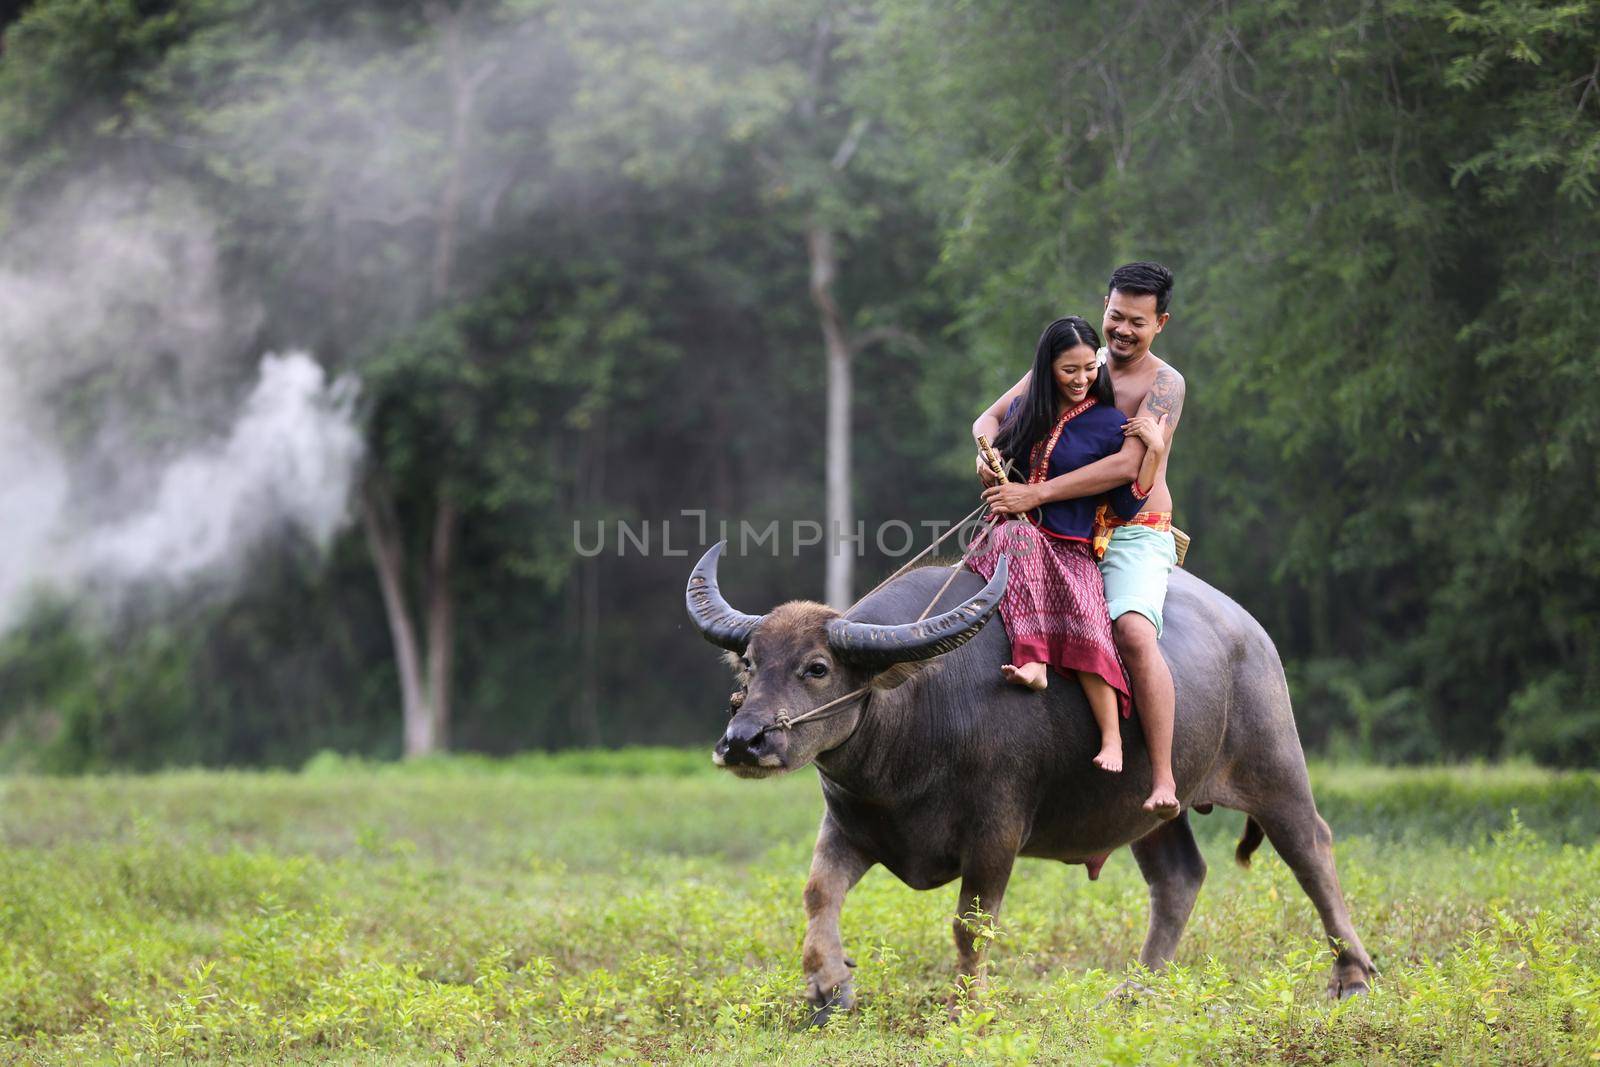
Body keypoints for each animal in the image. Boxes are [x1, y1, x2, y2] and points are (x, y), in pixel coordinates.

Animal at [684, 543, 1376, 1017]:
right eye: (751, 663)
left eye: (818, 667)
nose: (743, 741)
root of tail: (1250, 632)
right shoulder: (850, 826)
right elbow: (817, 893)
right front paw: (830, 986)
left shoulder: (996, 832)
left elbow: (970, 924)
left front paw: (966, 1009)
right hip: (1153, 804)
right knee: (1179, 879)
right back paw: (1135, 990)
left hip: (1274, 763)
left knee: (1312, 850)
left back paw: (1353, 976)